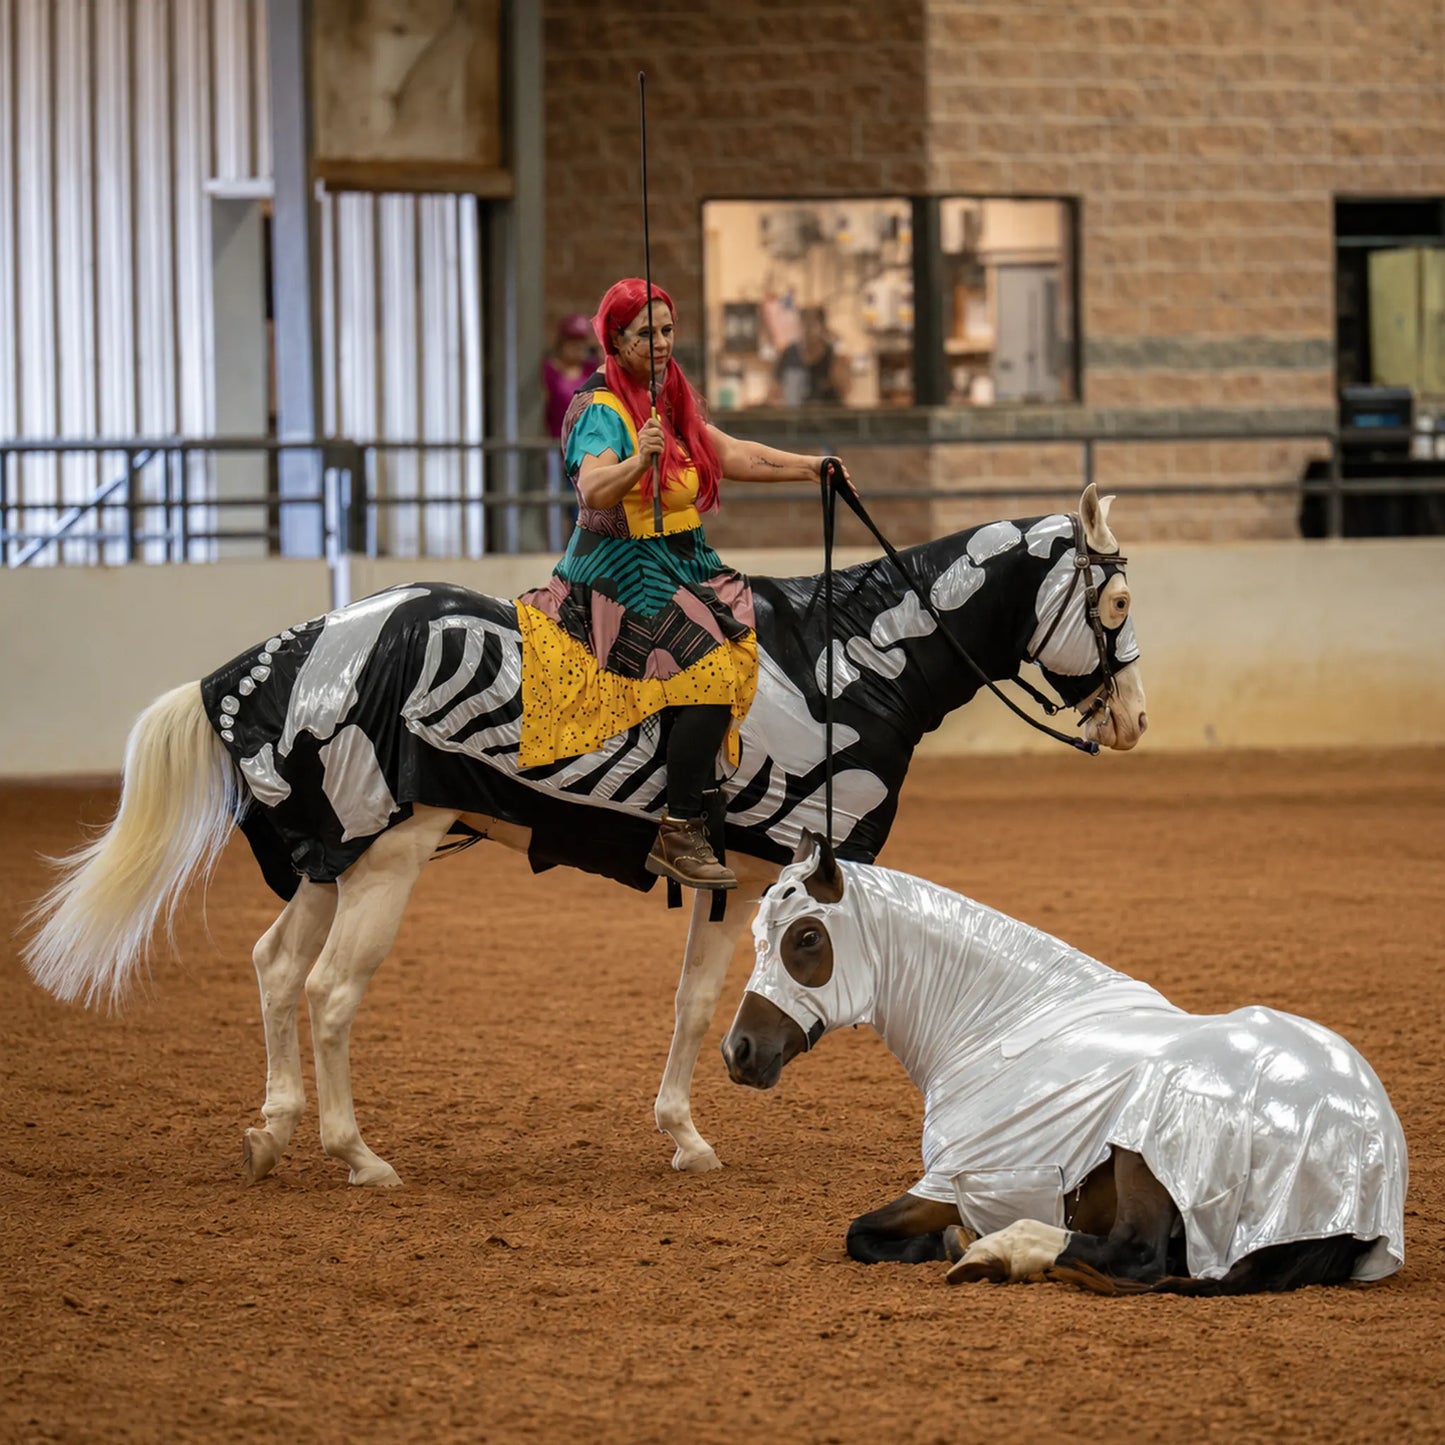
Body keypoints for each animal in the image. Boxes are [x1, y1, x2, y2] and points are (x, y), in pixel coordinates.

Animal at [23, 484, 1148, 1188]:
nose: (1132, 720)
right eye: (1117, 599)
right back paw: (357, 1155)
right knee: (331, 990)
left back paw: (272, 1130)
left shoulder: (727, 876)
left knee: (270, 967)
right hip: (387, 857)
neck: (844, 660)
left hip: (330, 860)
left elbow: (695, 1002)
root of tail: (305, 645)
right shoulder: (806, 869)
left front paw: (684, 1135)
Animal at [721, 838, 1407, 1295]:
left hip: (1140, 1155)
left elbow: (859, 1232)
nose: (738, 1052)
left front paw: (955, 1241)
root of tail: (1363, 1132)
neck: (998, 1029)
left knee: (1136, 1254)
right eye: (755, 935)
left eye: (807, 937)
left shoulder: (950, 1183)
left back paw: (997, 1251)